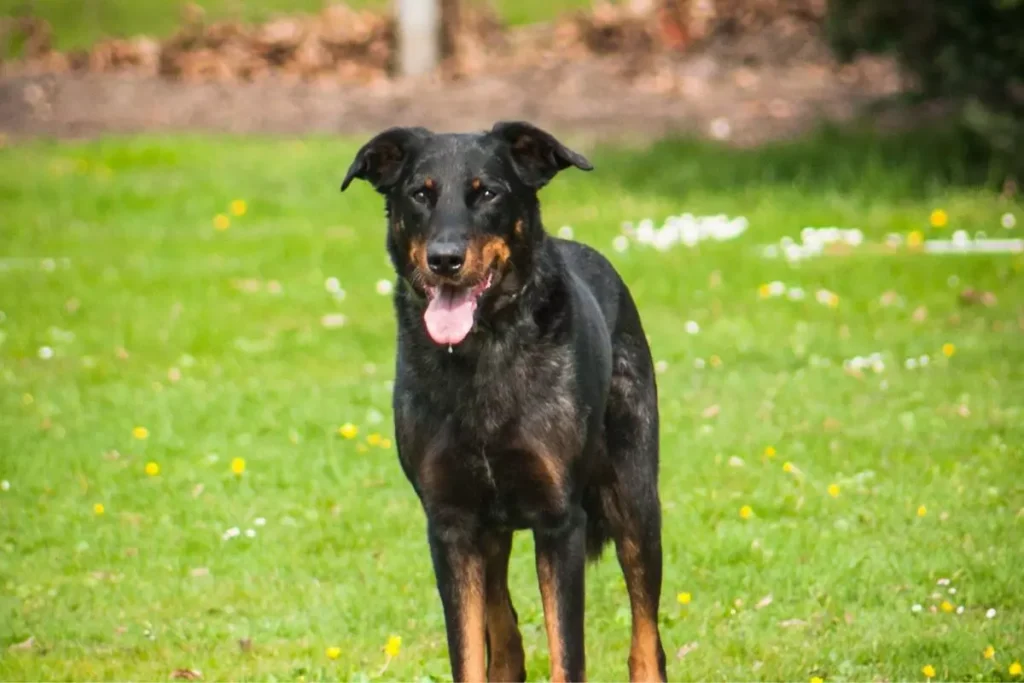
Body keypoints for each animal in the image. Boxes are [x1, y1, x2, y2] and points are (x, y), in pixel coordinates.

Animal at [339, 122, 667, 683]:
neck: (483, 351)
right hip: (489, 533)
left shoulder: (560, 523)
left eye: (487, 193)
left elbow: (567, 656)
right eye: (419, 194)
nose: (444, 260)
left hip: (635, 498)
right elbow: (470, 652)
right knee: (505, 634)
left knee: (646, 637)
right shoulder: (451, 526)